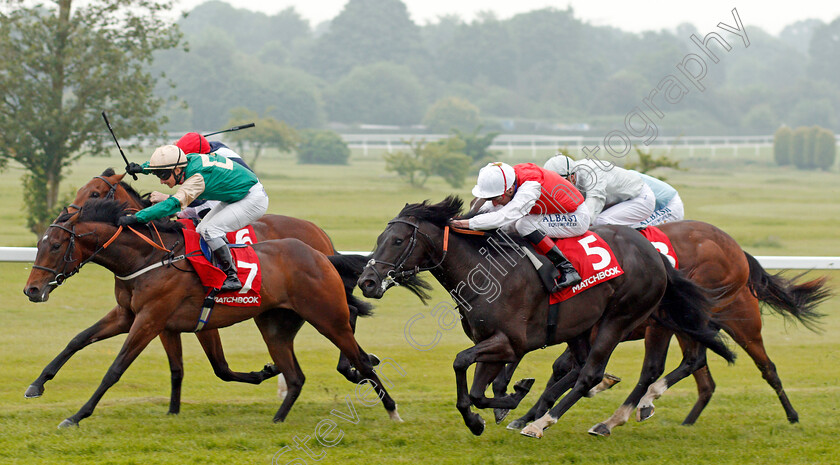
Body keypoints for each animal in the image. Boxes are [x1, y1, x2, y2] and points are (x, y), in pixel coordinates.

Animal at [20, 198, 400, 426]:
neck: (148, 258)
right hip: (275, 326)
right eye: (39, 244)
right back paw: (277, 419)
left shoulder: (150, 319)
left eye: (56, 245)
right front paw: (37, 384)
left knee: (359, 356)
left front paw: (77, 415)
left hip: (328, 317)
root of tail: (323, 254)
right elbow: (77, 340)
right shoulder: (129, 315)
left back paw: (391, 408)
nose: (32, 290)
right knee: (296, 377)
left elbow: (115, 369)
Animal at [354, 198, 736, 436]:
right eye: (380, 237)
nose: (367, 281)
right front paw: (489, 414)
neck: (485, 272)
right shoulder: (491, 343)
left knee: (593, 372)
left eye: (398, 240)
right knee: (583, 368)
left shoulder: (510, 343)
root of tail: (656, 257)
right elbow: (476, 390)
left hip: (619, 318)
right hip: (582, 328)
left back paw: (544, 423)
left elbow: (462, 363)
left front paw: (509, 403)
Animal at [498, 218, 828, 436]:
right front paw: (524, 412)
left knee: (763, 367)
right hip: (684, 327)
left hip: (731, 325)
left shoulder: (597, 327)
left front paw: (530, 413)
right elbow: (562, 367)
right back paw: (679, 418)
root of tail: (740, 254)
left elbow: (572, 368)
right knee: (700, 371)